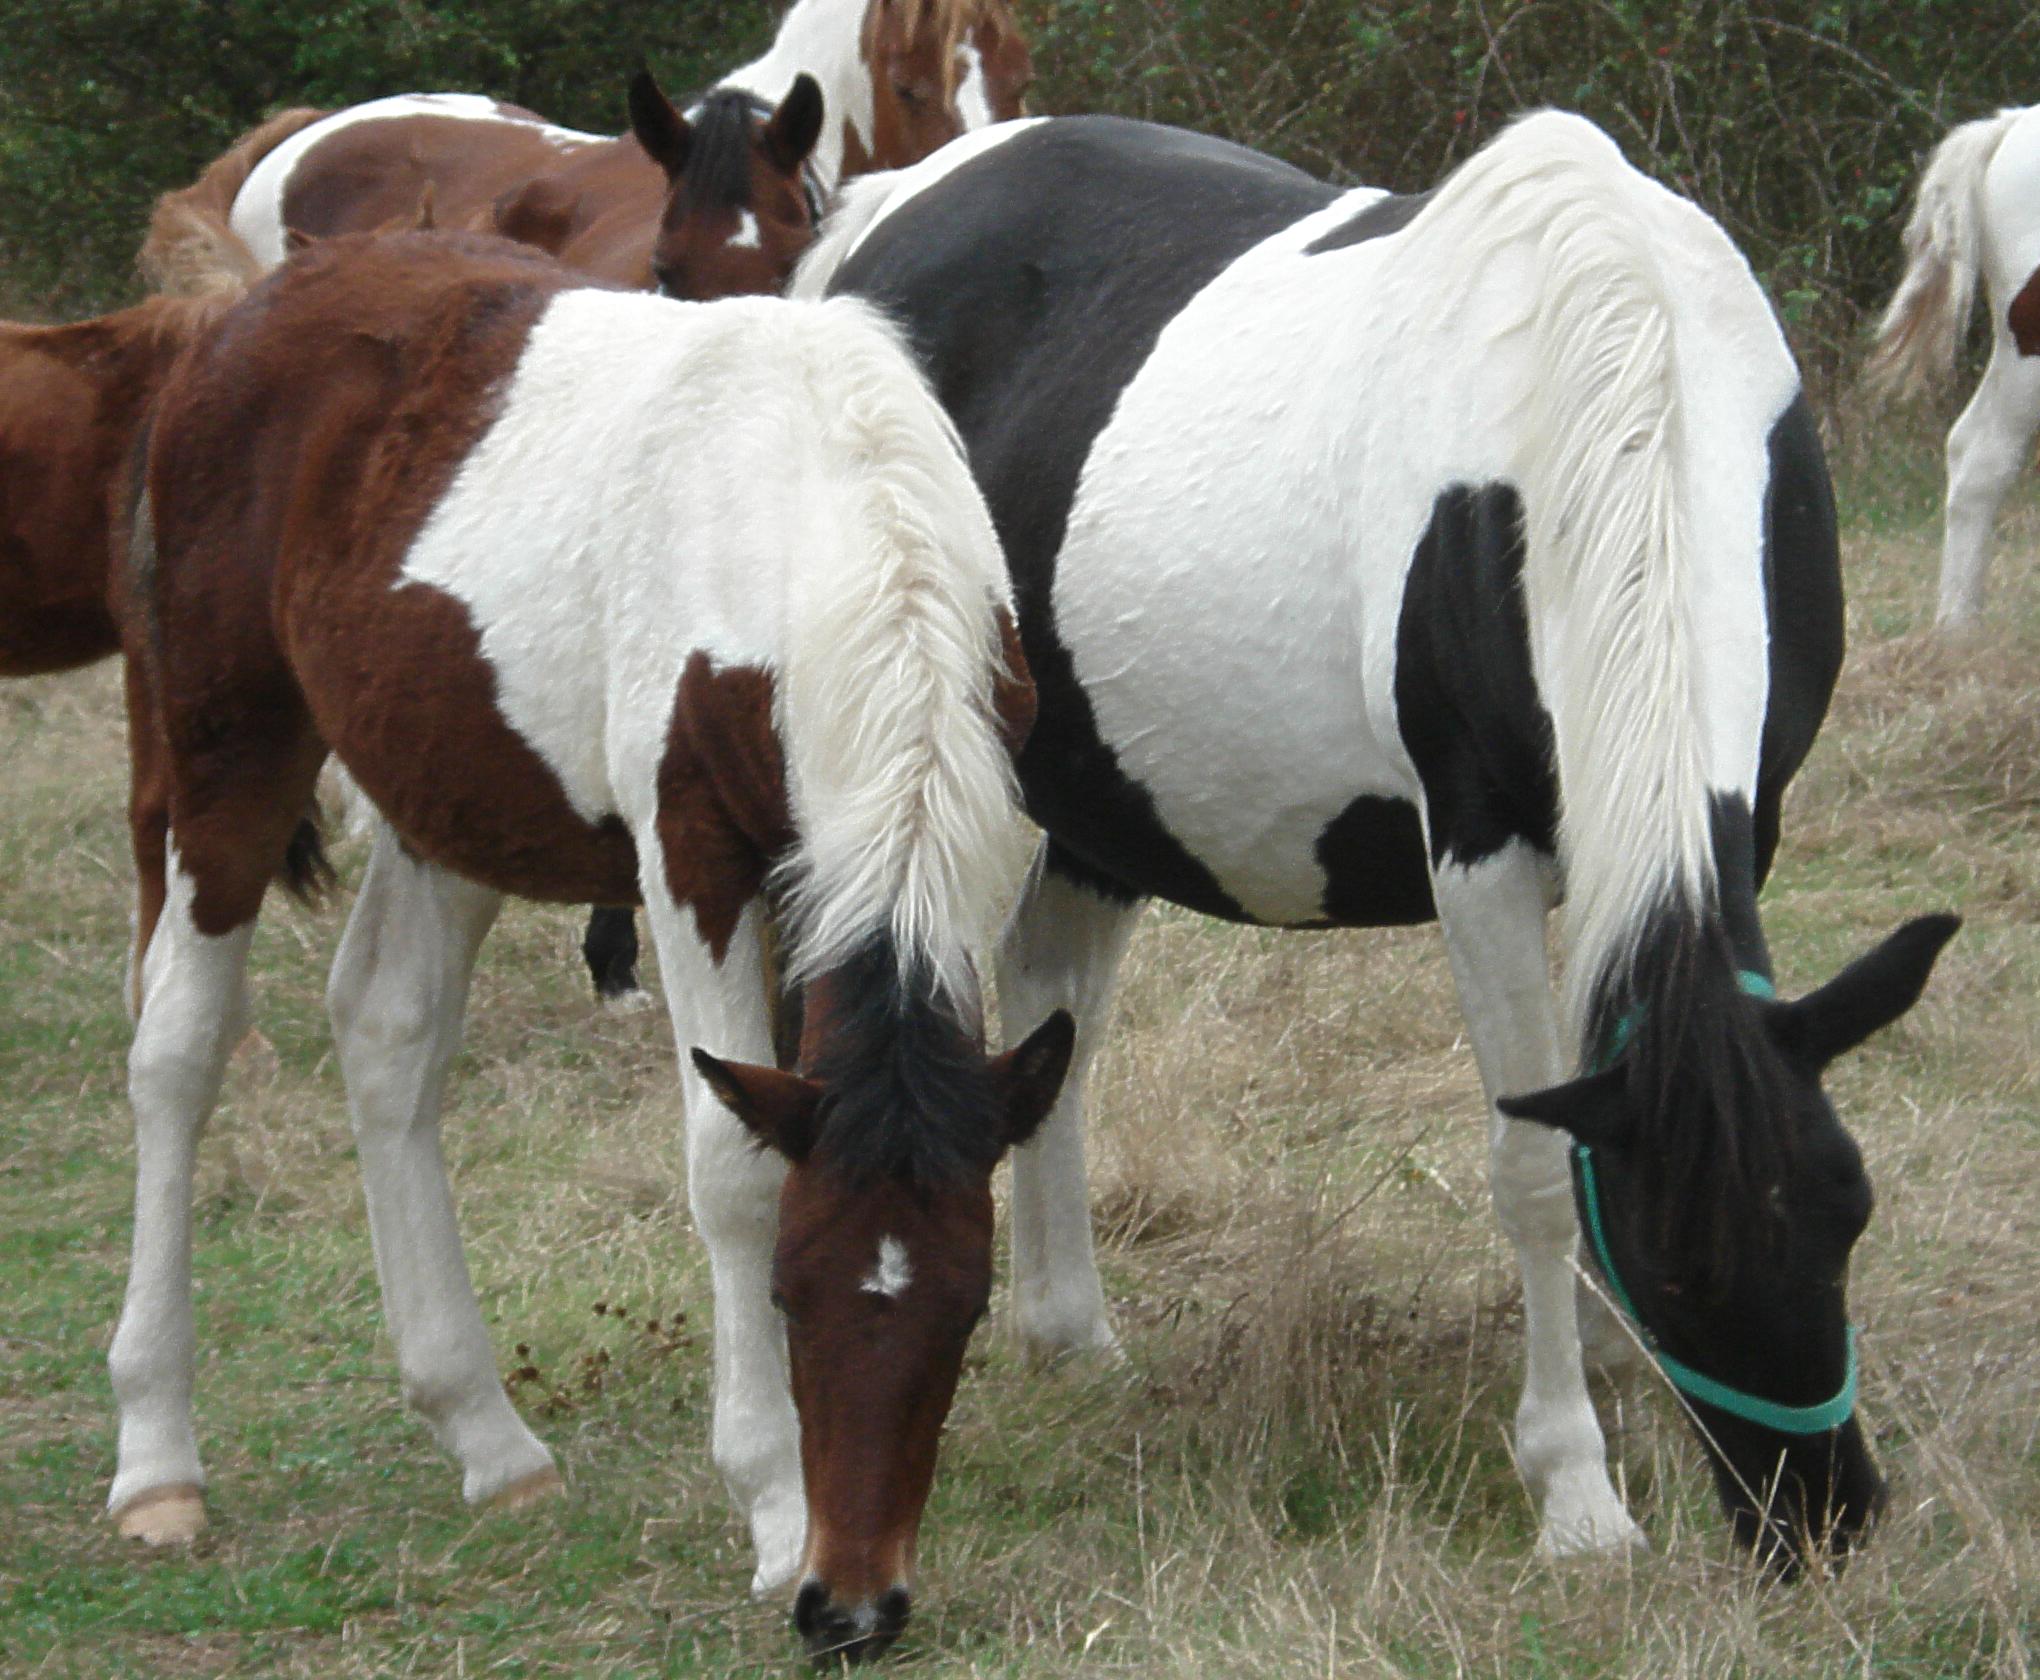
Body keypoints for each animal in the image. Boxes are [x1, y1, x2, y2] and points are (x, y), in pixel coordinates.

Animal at [109, 229, 1077, 1663]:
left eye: (965, 1306)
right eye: (789, 1295)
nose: (852, 1610)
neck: (820, 515)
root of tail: (239, 314)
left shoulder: (957, 852)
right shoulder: (693, 860)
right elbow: (731, 1167)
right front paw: (772, 1502)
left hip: (442, 793)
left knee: (385, 1030)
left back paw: (486, 1435)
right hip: (230, 750)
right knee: (174, 1052)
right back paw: (156, 1459)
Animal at [779, 114, 1958, 1565]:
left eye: (1851, 1211)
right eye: (1681, 1268)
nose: (1820, 1520)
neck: (1619, 382)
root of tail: (878, 218)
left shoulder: (1748, 815)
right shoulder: (1483, 853)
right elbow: (1532, 1169)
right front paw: (1576, 1486)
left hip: (1087, 805)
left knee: (1051, 1009)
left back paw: (1070, 1332)